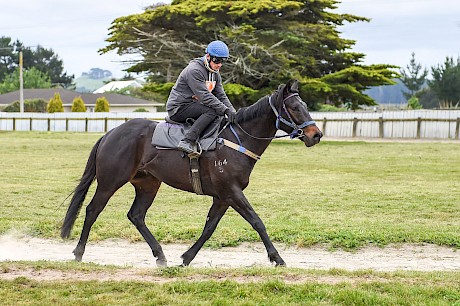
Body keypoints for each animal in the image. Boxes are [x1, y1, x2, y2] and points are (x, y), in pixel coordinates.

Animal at [60, 79, 320, 268]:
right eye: (295, 107)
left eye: (306, 107)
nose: (316, 134)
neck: (236, 140)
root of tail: (110, 133)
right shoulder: (232, 192)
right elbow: (257, 222)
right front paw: (277, 258)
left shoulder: (222, 197)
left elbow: (209, 227)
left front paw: (186, 257)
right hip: (110, 182)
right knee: (92, 210)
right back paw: (79, 252)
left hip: (148, 185)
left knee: (136, 215)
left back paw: (160, 255)